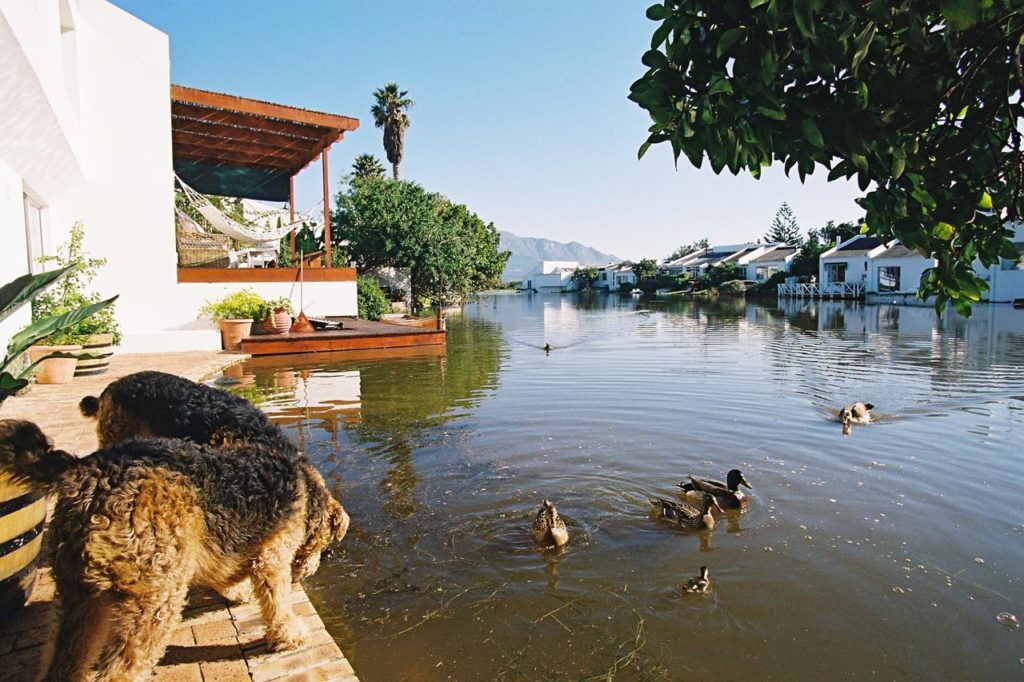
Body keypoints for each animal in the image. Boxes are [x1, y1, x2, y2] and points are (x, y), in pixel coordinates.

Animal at [0, 417, 348, 679]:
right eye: (323, 543)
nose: (310, 571)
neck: (304, 488)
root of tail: (83, 473)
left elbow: (221, 573)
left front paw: (237, 592)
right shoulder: (272, 557)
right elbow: (277, 602)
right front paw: (290, 636)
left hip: (78, 598)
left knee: (65, 666)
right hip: (154, 601)